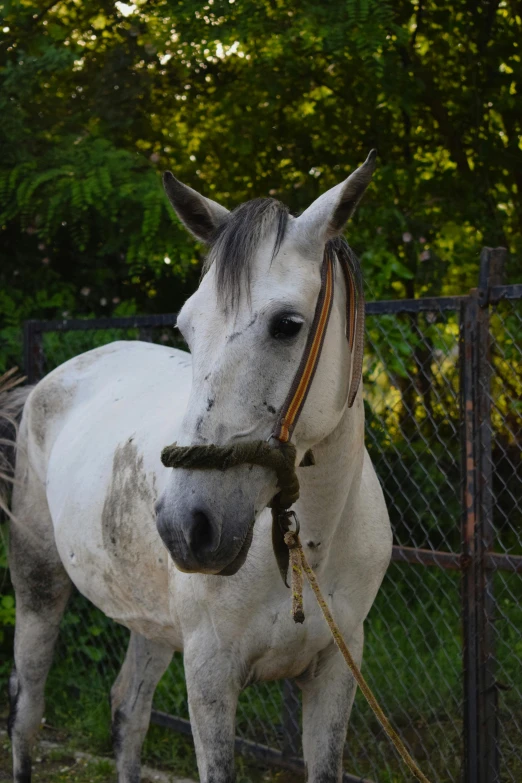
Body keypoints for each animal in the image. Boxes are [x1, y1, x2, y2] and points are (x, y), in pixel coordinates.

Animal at [5, 153, 390, 783]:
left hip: (151, 622)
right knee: (27, 712)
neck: (309, 543)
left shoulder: (337, 670)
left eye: (288, 324)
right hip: (38, 585)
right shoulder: (211, 676)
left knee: (128, 712)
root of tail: (54, 379)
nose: (188, 525)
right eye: (187, 327)